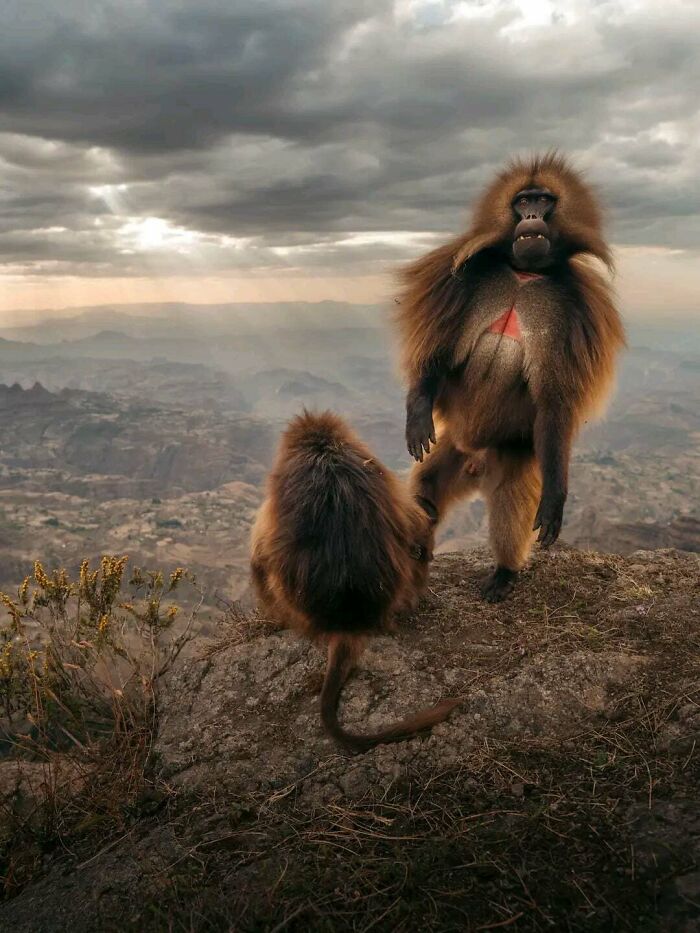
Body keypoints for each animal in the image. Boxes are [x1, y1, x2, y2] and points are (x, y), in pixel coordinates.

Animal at [395, 152, 625, 603]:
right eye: (522, 201)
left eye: (544, 199)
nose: (532, 215)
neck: (524, 274)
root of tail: (475, 460)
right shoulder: (463, 278)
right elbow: (437, 357)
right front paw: (417, 416)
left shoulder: (574, 311)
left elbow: (554, 402)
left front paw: (555, 500)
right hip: (453, 445)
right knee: (426, 485)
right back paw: (422, 521)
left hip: (512, 452)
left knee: (510, 502)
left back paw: (503, 573)